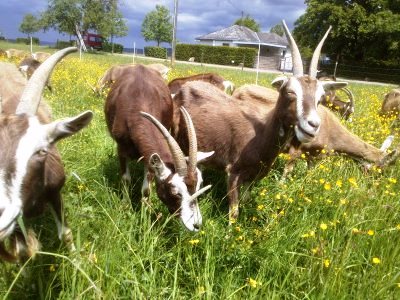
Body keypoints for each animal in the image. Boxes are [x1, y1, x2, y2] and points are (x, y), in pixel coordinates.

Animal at [0, 47, 93, 262]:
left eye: (41, 151)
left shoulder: (55, 191)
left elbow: (65, 234)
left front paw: (77, 262)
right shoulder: (16, 222)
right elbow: (21, 250)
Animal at [104, 63, 214, 232]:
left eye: (198, 186)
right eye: (175, 192)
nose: (196, 225)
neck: (137, 102)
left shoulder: (148, 158)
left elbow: (146, 189)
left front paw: (145, 214)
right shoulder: (121, 149)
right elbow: (126, 179)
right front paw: (125, 206)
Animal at [173, 19, 348, 220]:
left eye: (320, 98)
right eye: (290, 92)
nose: (312, 125)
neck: (261, 133)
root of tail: (183, 88)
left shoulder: (255, 175)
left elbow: (246, 200)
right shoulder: (233, 172)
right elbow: (234, 212)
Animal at [231, 84, 396, 177]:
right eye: (381, 169)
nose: (373, 184)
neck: (332, 131)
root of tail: (237, 91)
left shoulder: (314, 156)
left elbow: (309, 173)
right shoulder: (297, 148)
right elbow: (288, 170)